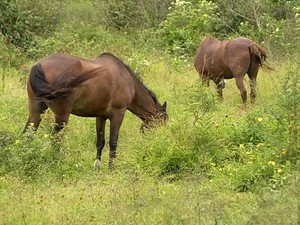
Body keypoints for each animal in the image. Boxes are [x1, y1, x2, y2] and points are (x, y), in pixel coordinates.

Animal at [22, 52, 169, 168]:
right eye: (162, 123)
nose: (160, 142)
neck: (126, 78)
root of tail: (39, 65)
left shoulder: (101, 116)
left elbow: (100, 142)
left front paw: (97, 165)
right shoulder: (118, 114)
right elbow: (113, 142)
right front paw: (111, 168)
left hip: (36, 111)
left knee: (28, 133)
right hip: (61, 115)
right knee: (55, 138)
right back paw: (58, 162)